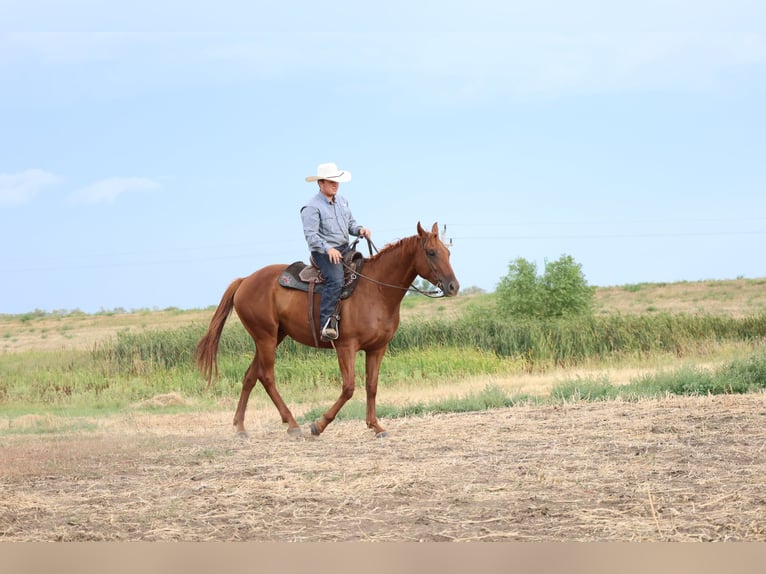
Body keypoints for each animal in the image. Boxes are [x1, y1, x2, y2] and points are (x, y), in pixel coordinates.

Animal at [195, 222, 460, 438]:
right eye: (431, 252)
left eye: (448, 252)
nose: (453, 286)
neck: (376, 291)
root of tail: (245, 280)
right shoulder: (345, 346)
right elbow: (349, 388)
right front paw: (319, 425)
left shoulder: (377, 348)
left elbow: (371, 386)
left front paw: (376, 426)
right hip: (265, 337)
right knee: (266, 376)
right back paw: (293, 425)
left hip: (273, 337)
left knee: (251, 375)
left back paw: (240, 427)